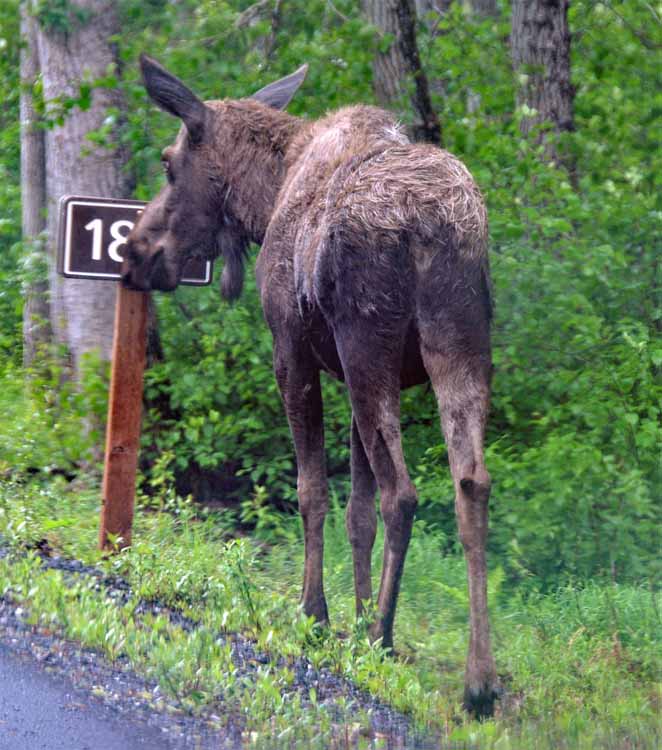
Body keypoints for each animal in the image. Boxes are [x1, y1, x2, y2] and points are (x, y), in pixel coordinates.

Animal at [122, 55, 500, 717]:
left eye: (169, 163)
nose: (136, 253)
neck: (265, 195)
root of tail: (432, 226)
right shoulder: (350, 375)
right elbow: (357, 511)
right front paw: (354, 614)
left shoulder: (293, 353)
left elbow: (313, 491)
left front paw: (319, 614)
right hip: (457, 345)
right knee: (470, 482)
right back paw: (477, 681)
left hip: (368, 342)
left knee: (404, 492)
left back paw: (383, 638)